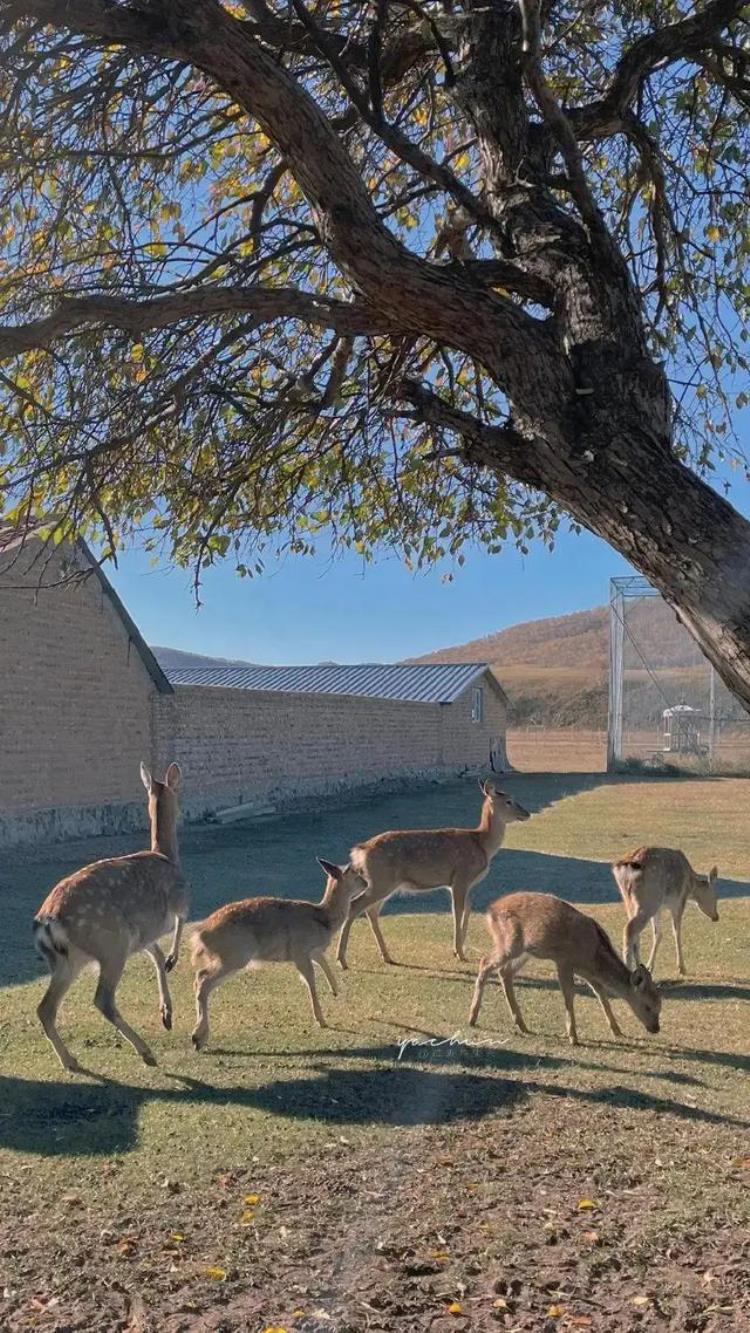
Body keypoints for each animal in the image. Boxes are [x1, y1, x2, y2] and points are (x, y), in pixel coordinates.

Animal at [33, 762, 189, 1071]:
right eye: (178, 792)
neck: (167, 856)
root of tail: (48, 922)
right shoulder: (179, 899)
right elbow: (180, 924)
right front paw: (173, 961)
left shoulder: (140, 934)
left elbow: (155, 954)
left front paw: (166, 1014)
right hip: (110, 944)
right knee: (102, 999)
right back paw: (146, 1052)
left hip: (68, 959)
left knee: (45, 1008)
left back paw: (70, 1060)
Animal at [187, 853, 365, 1050]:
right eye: (355, 873)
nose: (366, 883)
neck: (324, 919)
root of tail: (199, 934)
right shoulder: (299, 950)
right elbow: (310, 980)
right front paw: (322, 1020)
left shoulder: (313, 951)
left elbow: (324, 964)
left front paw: (335, 990)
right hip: (234, 956)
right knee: (202, 979)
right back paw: (197, 1038)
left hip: (229, 958)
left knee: (200, 979)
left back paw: (199, 1037)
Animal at [337, 778, 530, 970]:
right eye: (509, 800)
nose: (526, 813)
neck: (483, 845)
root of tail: (359, 852)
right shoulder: (461, 876)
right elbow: (457, 911)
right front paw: (459, 952)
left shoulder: (461, 883)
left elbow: (468, 908)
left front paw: (458, 949)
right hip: (381, 880)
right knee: (355, 905)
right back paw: (342, 959)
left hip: (384, 883)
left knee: (371, 910)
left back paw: (386, 956)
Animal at [468, 890, 663, 1045]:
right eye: (648, 1006)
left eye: (660, 1006)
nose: (656, 1028)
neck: (592, 955)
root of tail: (491, 910)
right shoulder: (563, 962)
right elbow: (569, 995)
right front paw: (573, 1037)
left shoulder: (588, 973)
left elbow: (601, 994)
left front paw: (617, 1031)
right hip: (509, 943)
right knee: (485, 962)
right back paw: (472, 1018)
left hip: (525, 951)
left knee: (505, 972)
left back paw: (522, 1025)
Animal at [610, 847, 719, 975]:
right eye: (715, 897)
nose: (716, 916)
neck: (691, 887)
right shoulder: (678, 902)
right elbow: (677, 932)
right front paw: (681, 968)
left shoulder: (659, 909)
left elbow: (658, 934)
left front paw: (649, 967)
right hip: (648, 900)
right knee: (629, 929)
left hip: (629, 900)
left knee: (635, 932)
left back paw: (639, 967)